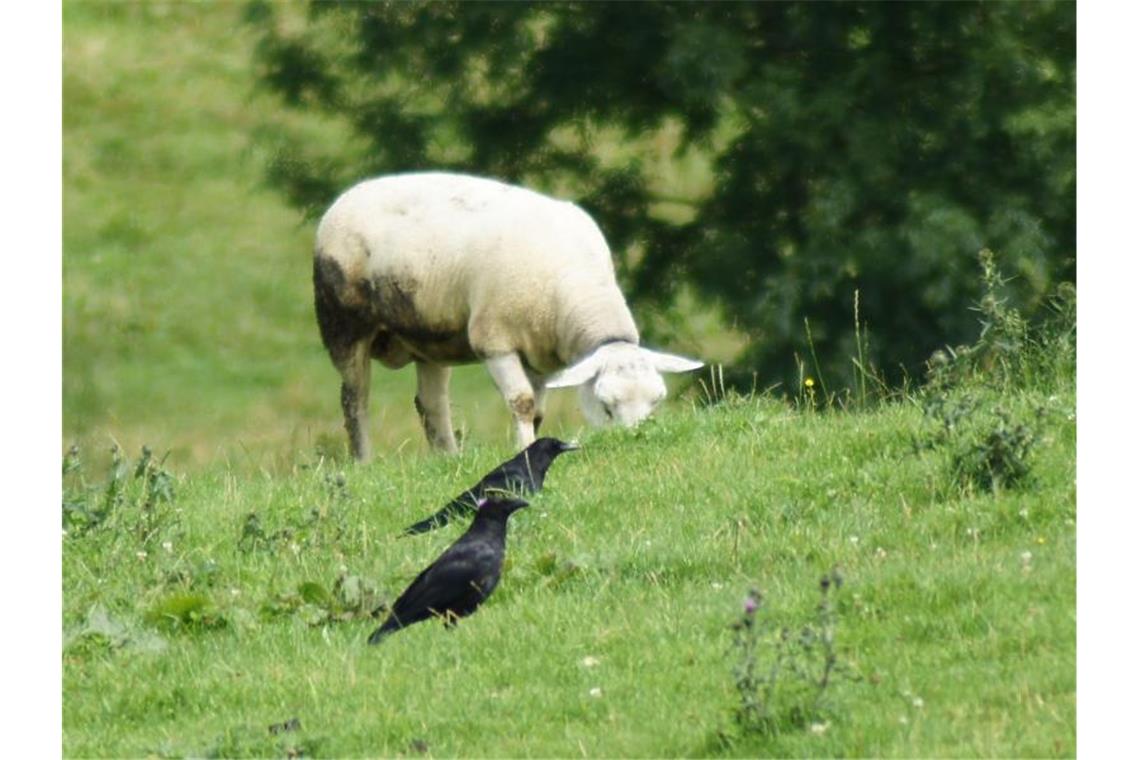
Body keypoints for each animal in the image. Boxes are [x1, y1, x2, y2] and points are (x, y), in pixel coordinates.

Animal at [314, 172, 702, 458]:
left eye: (656, 401)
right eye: (606, 406)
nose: (635, 441)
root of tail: (347, 197)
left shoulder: (543, 354)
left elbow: (539, 411)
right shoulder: (494, 339)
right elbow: (522, 402)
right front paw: (524, 449)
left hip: (429, 336)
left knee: (430, 404)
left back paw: (448, 459)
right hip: (343, 325)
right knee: (355, 401)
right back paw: (363, 461)